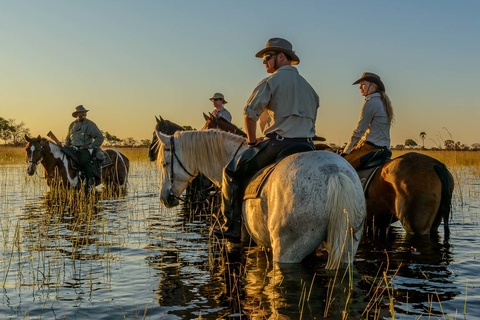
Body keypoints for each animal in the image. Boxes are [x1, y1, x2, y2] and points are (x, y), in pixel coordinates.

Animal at [156, 130, 366, 270]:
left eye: (165, 163)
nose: (165, 197)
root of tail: (334, 173)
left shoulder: (241, 238)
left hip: (288, 250)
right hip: (347, 246)